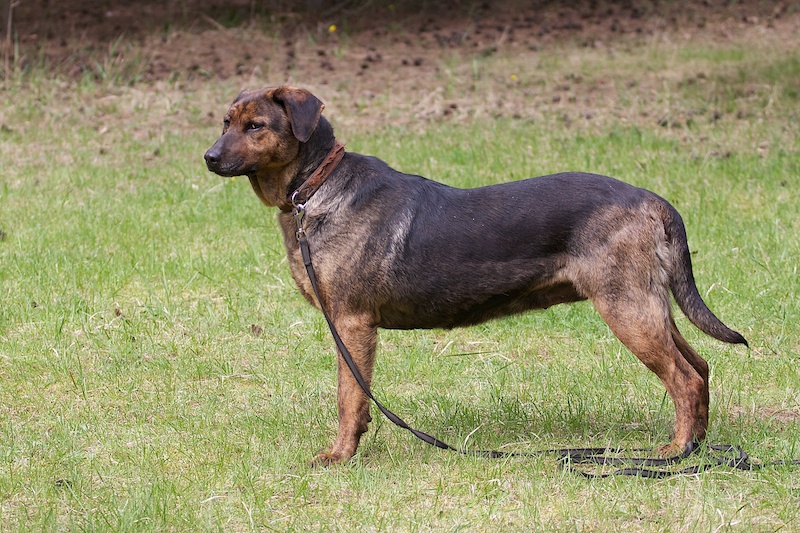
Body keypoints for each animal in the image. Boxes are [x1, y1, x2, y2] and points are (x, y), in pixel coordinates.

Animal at [204, 86, 748, 466]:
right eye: (225, 122)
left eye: (255, 125)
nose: (208, 157)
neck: (315, 189)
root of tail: (653, 200)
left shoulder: (352, 325)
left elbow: (349, 399)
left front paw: (340, 456)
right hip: (650, 307)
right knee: (699, 367)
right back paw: (696, 449)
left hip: (628, 309)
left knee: (684, 379)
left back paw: (675, 451)